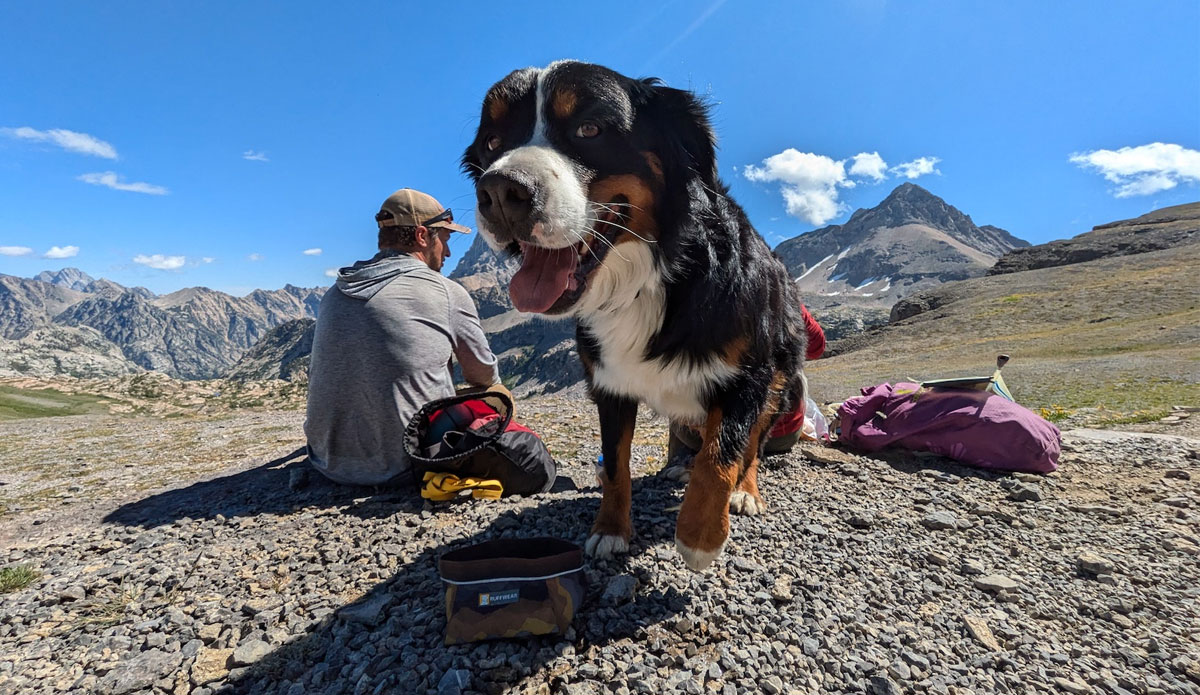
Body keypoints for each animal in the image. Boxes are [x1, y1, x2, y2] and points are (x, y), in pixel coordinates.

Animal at [460, 61, 806, 571]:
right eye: (492, 141)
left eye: (590, 128)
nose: (499, 191)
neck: (649, 278)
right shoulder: (609, 383)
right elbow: (615, 463)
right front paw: (610, 530)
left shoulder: (748, 375)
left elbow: (722, 456)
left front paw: (701, 536)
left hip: (783, 380)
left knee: (753, 444)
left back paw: (745, 492)